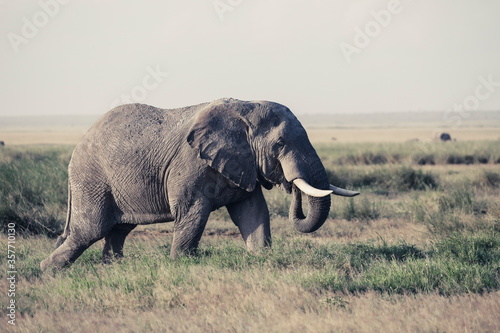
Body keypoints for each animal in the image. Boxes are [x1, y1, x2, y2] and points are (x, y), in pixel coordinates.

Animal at [40, 97, 360, 268]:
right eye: (279, 144)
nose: (290, 184)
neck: (245, 108)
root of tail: (78, 144)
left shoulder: (242, 162)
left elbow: (253, 213)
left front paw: (261, 258)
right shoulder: (190, 165)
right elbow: (193, 214)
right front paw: (179, 264)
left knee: (118, 229)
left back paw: (113, 267)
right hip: (91, 179)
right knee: (90, 229)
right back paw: (48, 271)